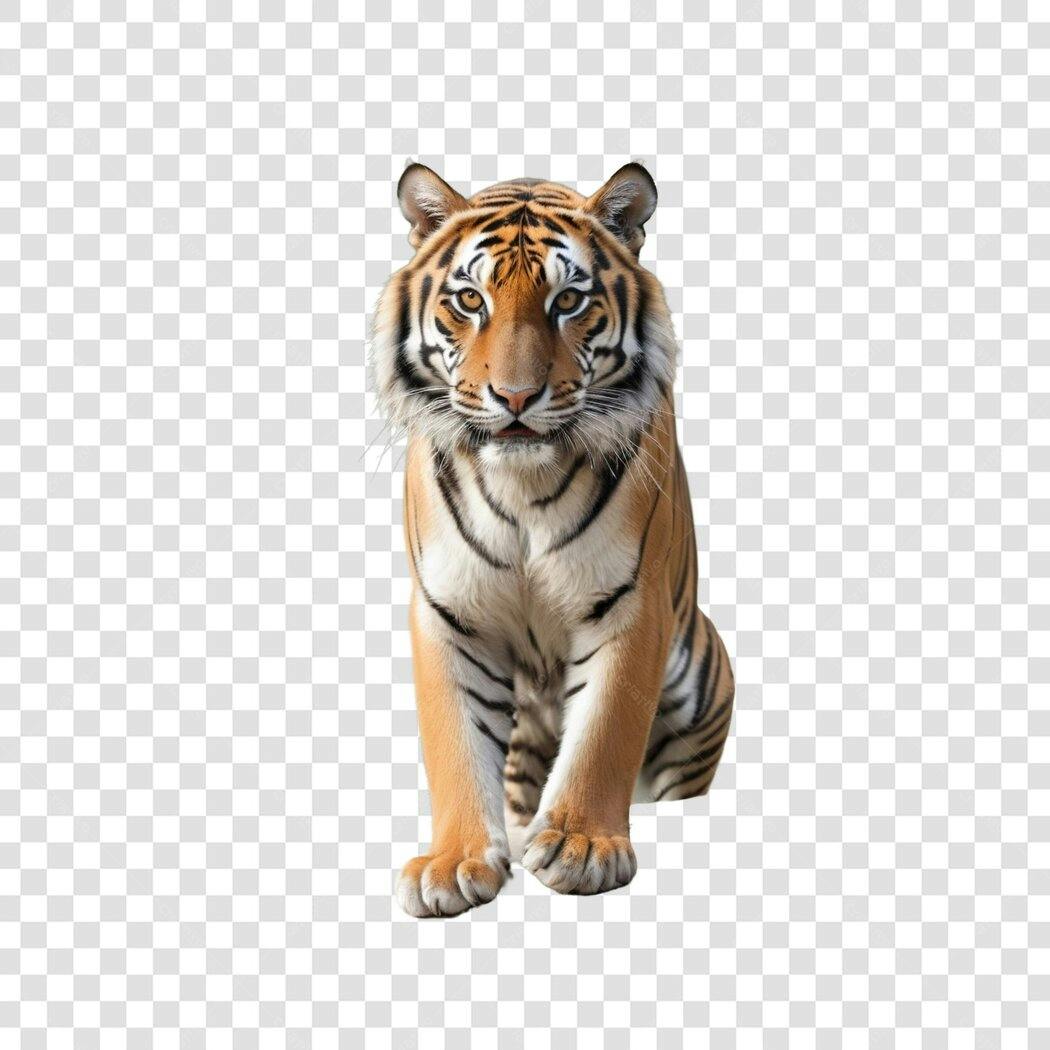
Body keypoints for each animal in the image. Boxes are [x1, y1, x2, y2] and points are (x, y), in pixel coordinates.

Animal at [371, 161, 735, 917]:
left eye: (568, 300)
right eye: (470, 299)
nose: (514, 398)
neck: (523, 486)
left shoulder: (631, 604)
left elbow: (605, 731)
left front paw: (581, 846)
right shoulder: (448, 613)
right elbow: (454, 742)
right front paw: (453, 863)